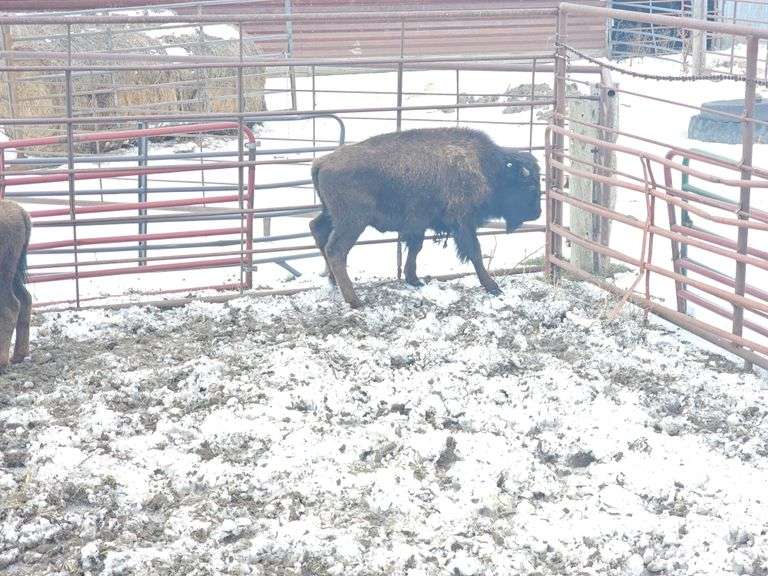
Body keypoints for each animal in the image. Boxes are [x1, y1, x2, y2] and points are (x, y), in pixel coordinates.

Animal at [309, 127, 542, 308]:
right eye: (530, 186)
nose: (537, 213)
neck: (487, 168)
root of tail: (322, 162)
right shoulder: (463, 223)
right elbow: (475, 253)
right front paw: (493, 287)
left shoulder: (418, 224)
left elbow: (415, 248)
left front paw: (414, 280)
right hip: (352, 222)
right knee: (336, 250)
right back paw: (355, 300)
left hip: (331, 215)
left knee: (318, 230)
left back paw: (333, 282)